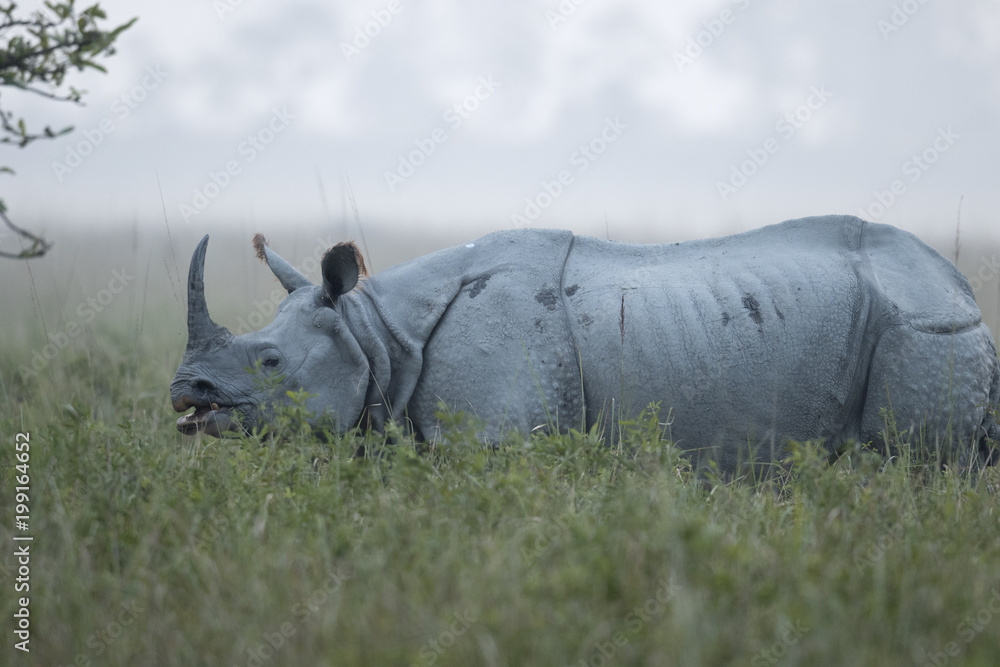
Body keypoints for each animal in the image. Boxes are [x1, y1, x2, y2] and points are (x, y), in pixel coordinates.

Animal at [171, 215, 1000, 471]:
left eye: (269, 362)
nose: (185, 393)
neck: (377, 331)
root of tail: (965, 292)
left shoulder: (499, 440)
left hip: (925, 332)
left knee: (920, 467)